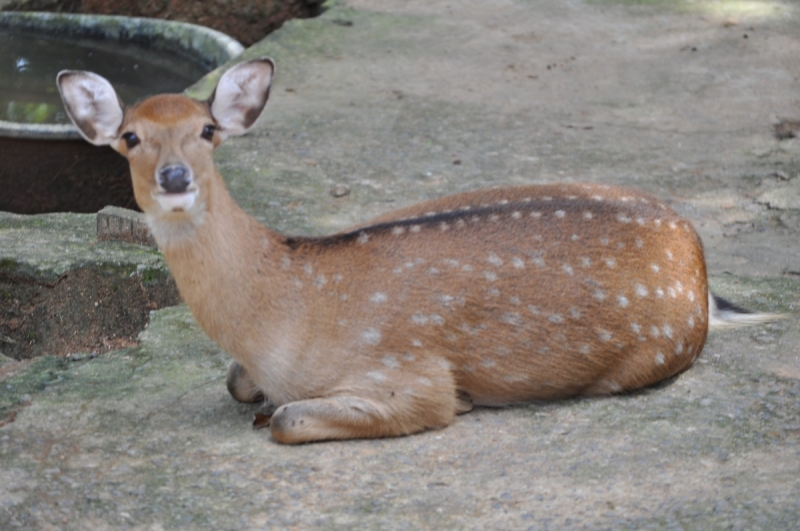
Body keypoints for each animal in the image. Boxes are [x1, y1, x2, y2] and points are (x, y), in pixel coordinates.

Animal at [57, 57, 780, 444]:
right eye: (130, 136)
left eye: (207, 129)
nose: (175, 177)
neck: (285, 312)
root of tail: (695, 251)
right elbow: (236, 380)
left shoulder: (409, 368)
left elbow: (291, 416)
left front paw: (464, 403)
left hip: (649, 354)